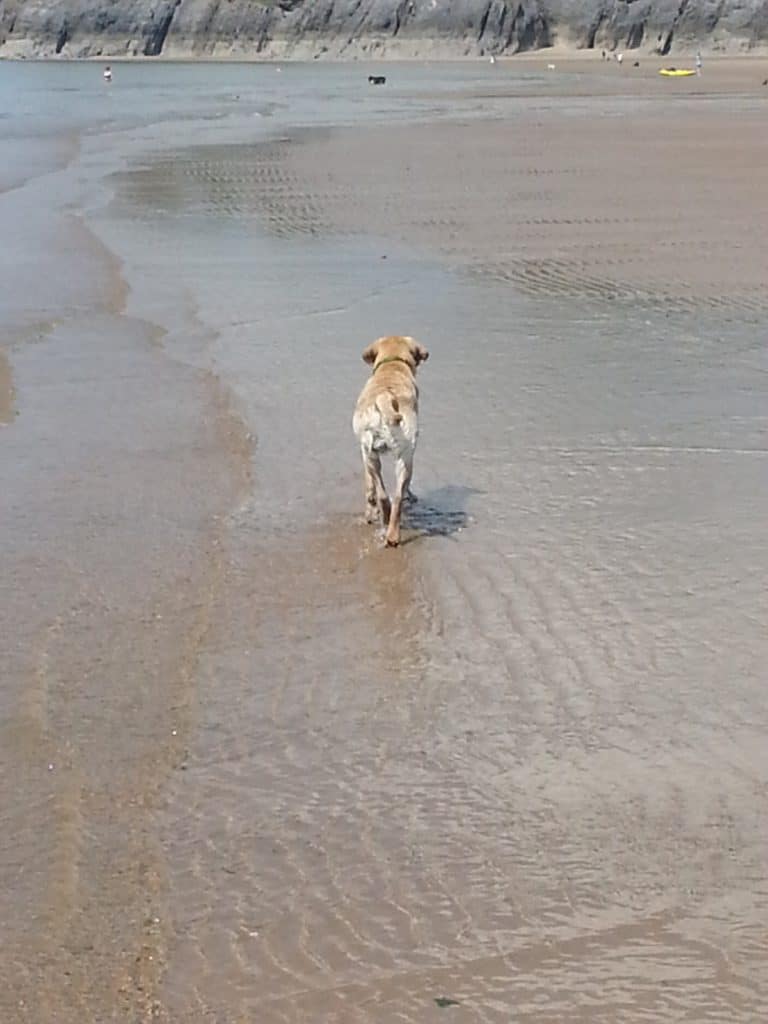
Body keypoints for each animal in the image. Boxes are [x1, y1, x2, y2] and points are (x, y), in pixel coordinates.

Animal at [354, 333, 430, 544]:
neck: (392, 365)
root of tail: (385, 397)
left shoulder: (364, 452)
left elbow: (369, 486)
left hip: (375, 455)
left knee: (385, 495)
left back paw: (388, 526)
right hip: (402, 457)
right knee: (395, 497)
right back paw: (392, 533)